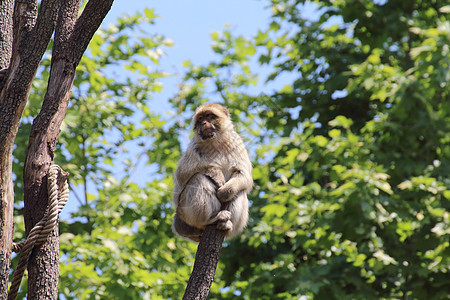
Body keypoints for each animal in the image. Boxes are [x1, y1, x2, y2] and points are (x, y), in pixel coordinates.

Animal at [173, 103, 253, 241]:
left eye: (209, 116)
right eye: (200, 119)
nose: (204, 123)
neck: (215, 142)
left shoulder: (237, 142)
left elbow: (243, 175)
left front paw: (224, 192)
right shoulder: (194, 146)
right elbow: (181, 174)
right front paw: (216, 173)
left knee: (240, 191)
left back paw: (227, 226)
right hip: (184, 213)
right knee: (198, 178)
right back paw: (211, 219)